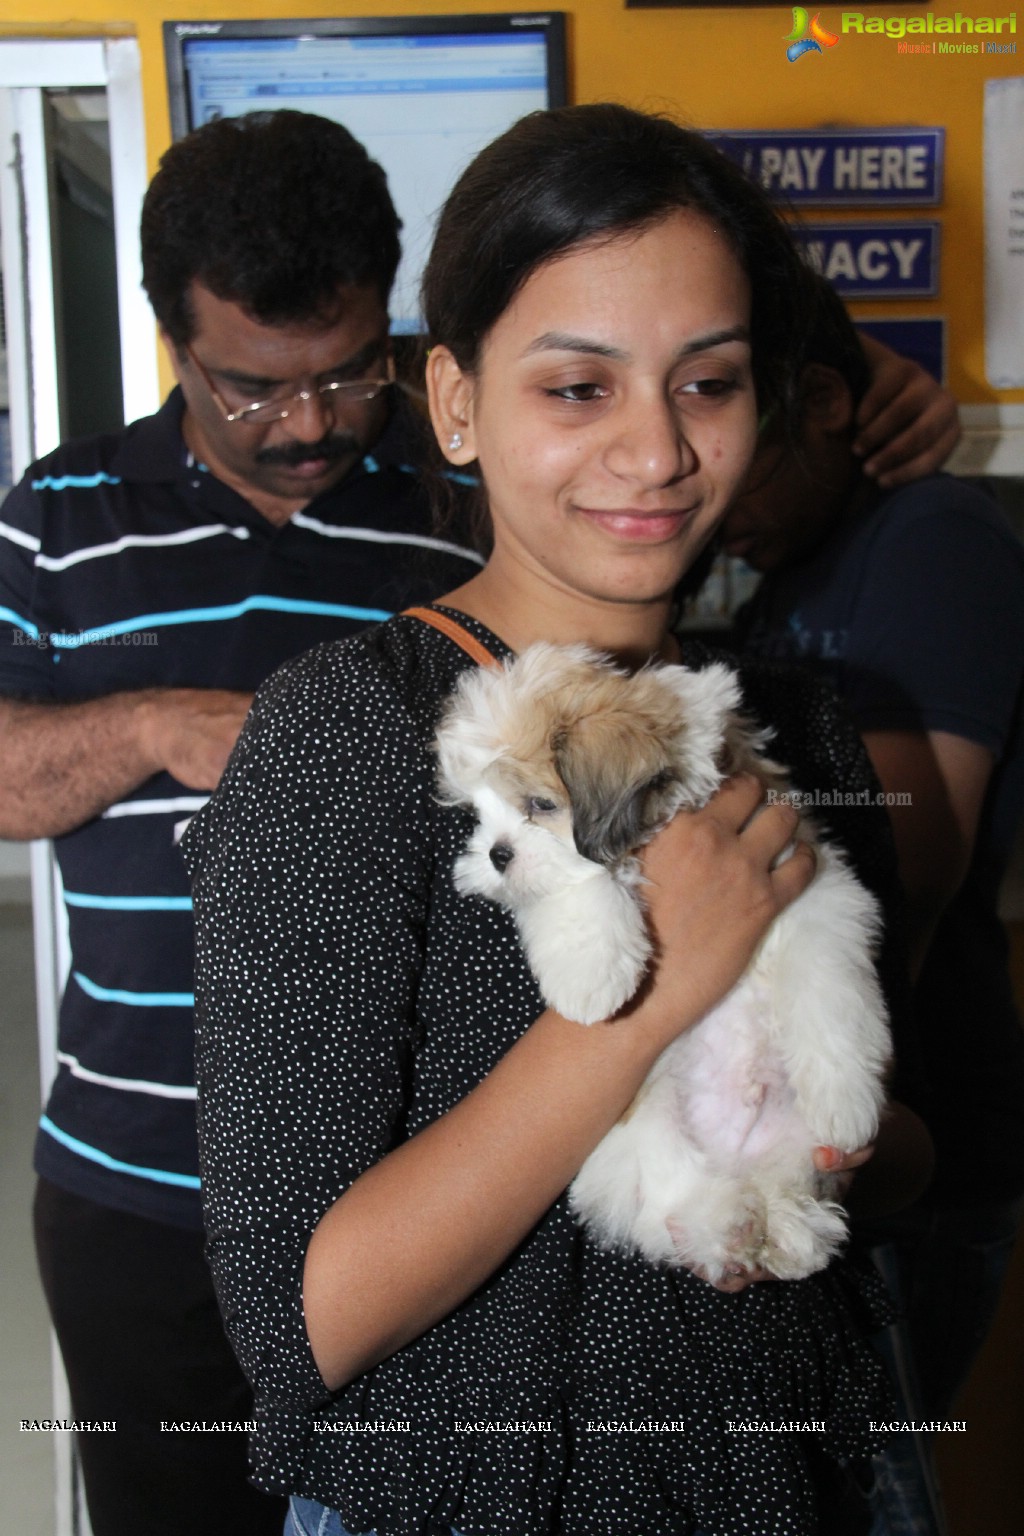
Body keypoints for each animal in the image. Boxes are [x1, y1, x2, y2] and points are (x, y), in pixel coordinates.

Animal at [436, 648, 890, 1284]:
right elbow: (578, 884)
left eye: (540, 804)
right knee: (675, 1185)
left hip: (786, 1145)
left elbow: (829, 994)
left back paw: (791, 1228)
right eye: (478, 813)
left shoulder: (815, 889)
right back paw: (730, 1222)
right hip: (641, 1117)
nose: (498, 855)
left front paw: (844, 1101)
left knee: (781, 1181)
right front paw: (591, 976)